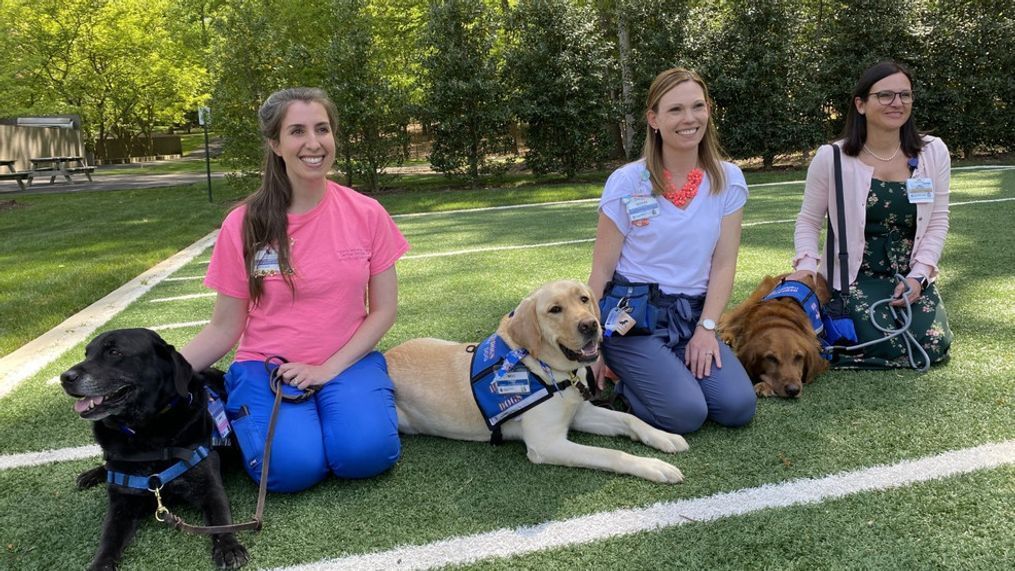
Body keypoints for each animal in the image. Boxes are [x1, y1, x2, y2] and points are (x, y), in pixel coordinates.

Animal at [61, 328, 247, 567]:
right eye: (87, 354)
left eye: (114, 352)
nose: (65, 377)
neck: (146, 434)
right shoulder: (121, 502)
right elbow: (109, 538)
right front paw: (100, 564)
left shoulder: (209, 486)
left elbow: (220, 518)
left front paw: (228, 546)